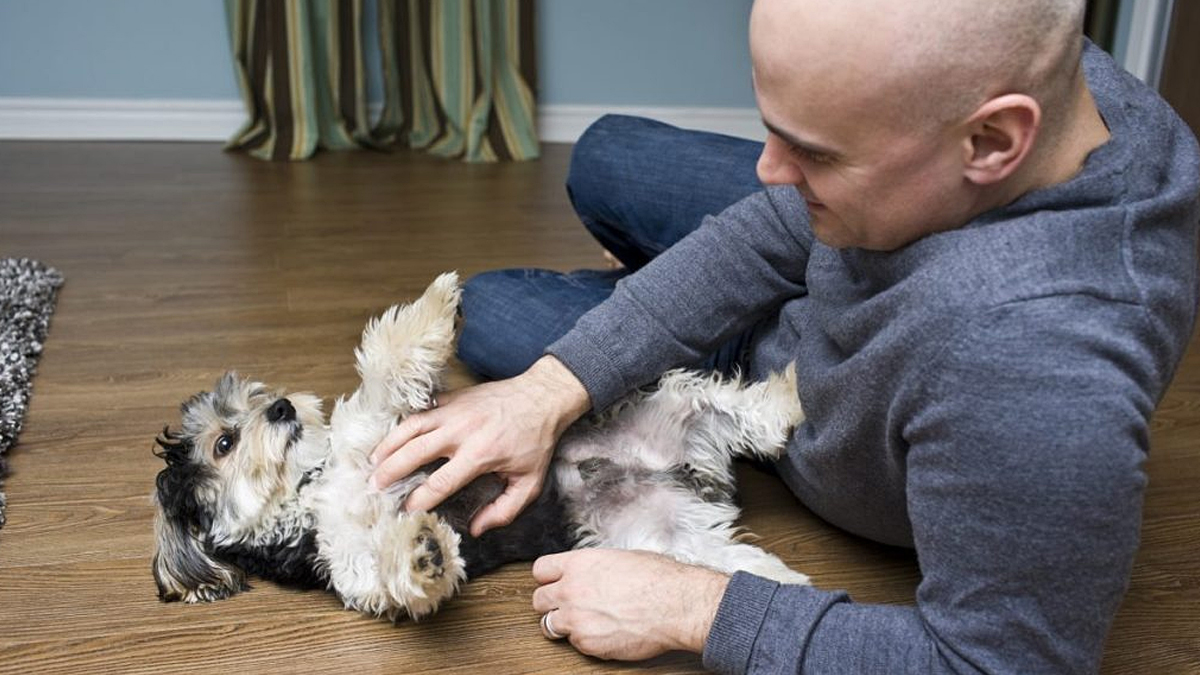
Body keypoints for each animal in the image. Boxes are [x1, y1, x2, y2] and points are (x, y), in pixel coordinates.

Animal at [147, 270, 806, 619]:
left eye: (257, 396)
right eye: (225, 442)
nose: (283, 406)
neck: (315, 485)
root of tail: (684, 474)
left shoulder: (388, 428)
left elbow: (386, 366)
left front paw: (437, 304)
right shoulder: (349, 567)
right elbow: (386, 570)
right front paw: (423, 552)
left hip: (666, 410)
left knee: (730, 404)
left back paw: (792, 395)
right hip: (662, 536)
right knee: (728, 554)